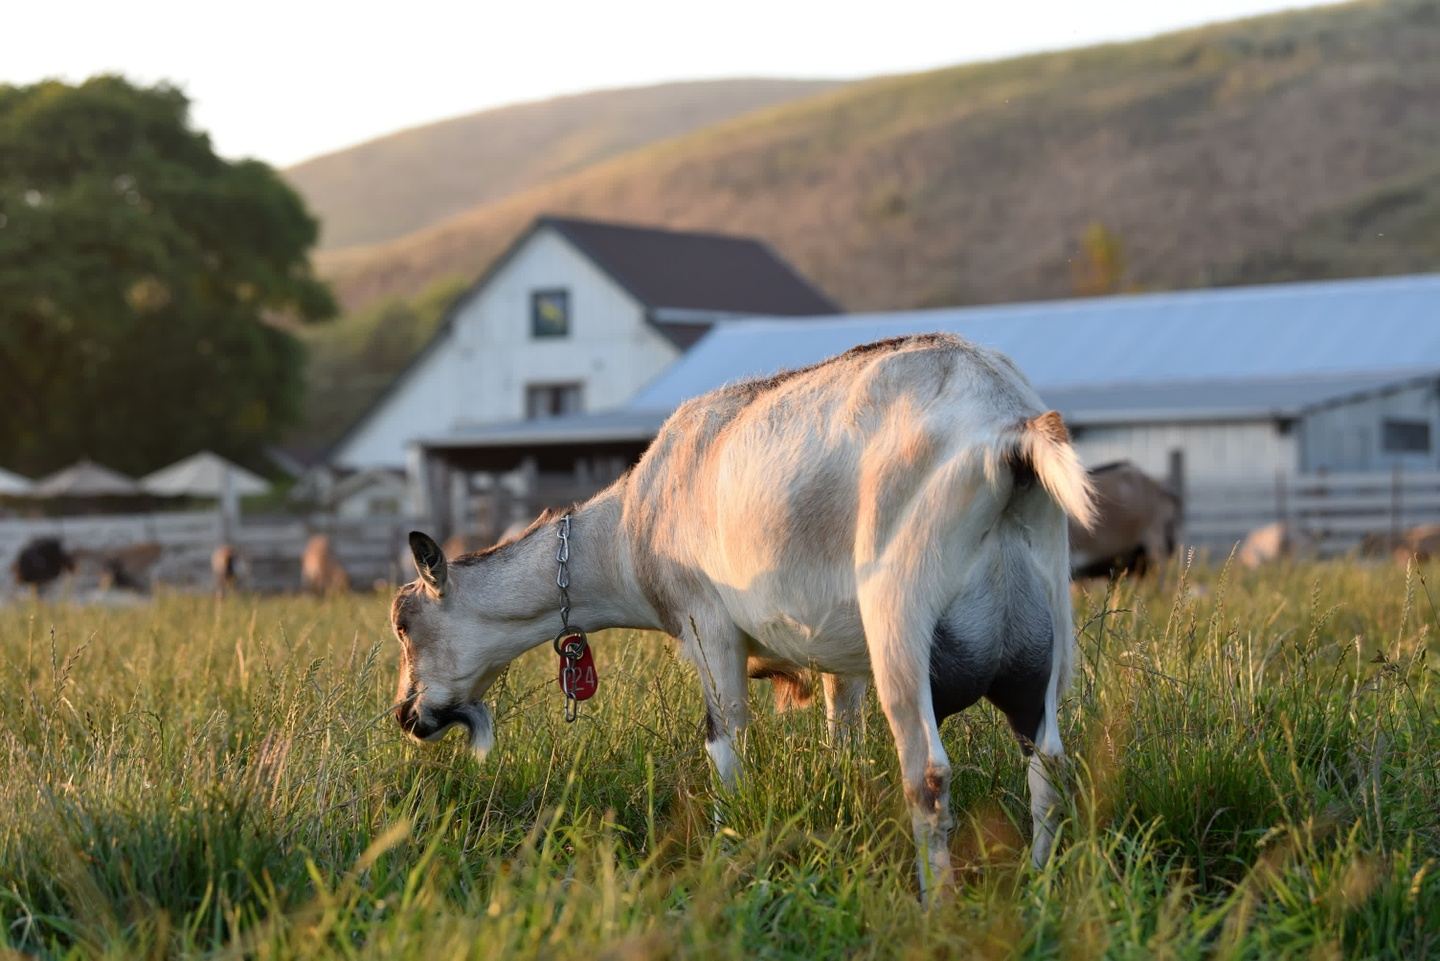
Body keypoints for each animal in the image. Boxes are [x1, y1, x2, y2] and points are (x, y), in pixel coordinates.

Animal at [388, 337, 1094, 893]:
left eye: (404, 622)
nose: (406, 715)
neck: (628, 527)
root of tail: (1006, 428)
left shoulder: (708, 625)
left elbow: (724, 741)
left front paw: (728, 844)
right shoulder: (840, 655)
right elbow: (843, 738)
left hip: (900, 616)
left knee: (927, 771)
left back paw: (938, 907)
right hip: (1045, 634)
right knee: (1048, 761)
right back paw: (1041, 884)